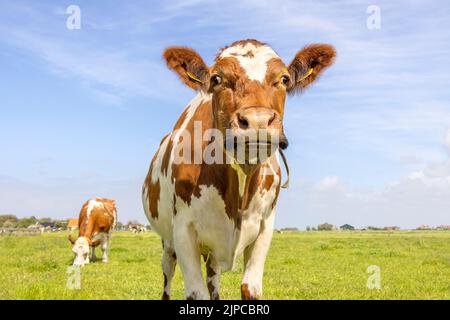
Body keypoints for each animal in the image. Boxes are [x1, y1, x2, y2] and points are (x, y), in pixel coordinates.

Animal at [142, 40, 336, 300]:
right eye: (216, 78)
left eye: (284, 79)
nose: (257, 121)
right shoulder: (183, 229)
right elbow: (196, 293)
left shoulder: (264, 226)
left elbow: (249, 288)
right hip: (167, 241)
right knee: (168, 275)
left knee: (213, 279)